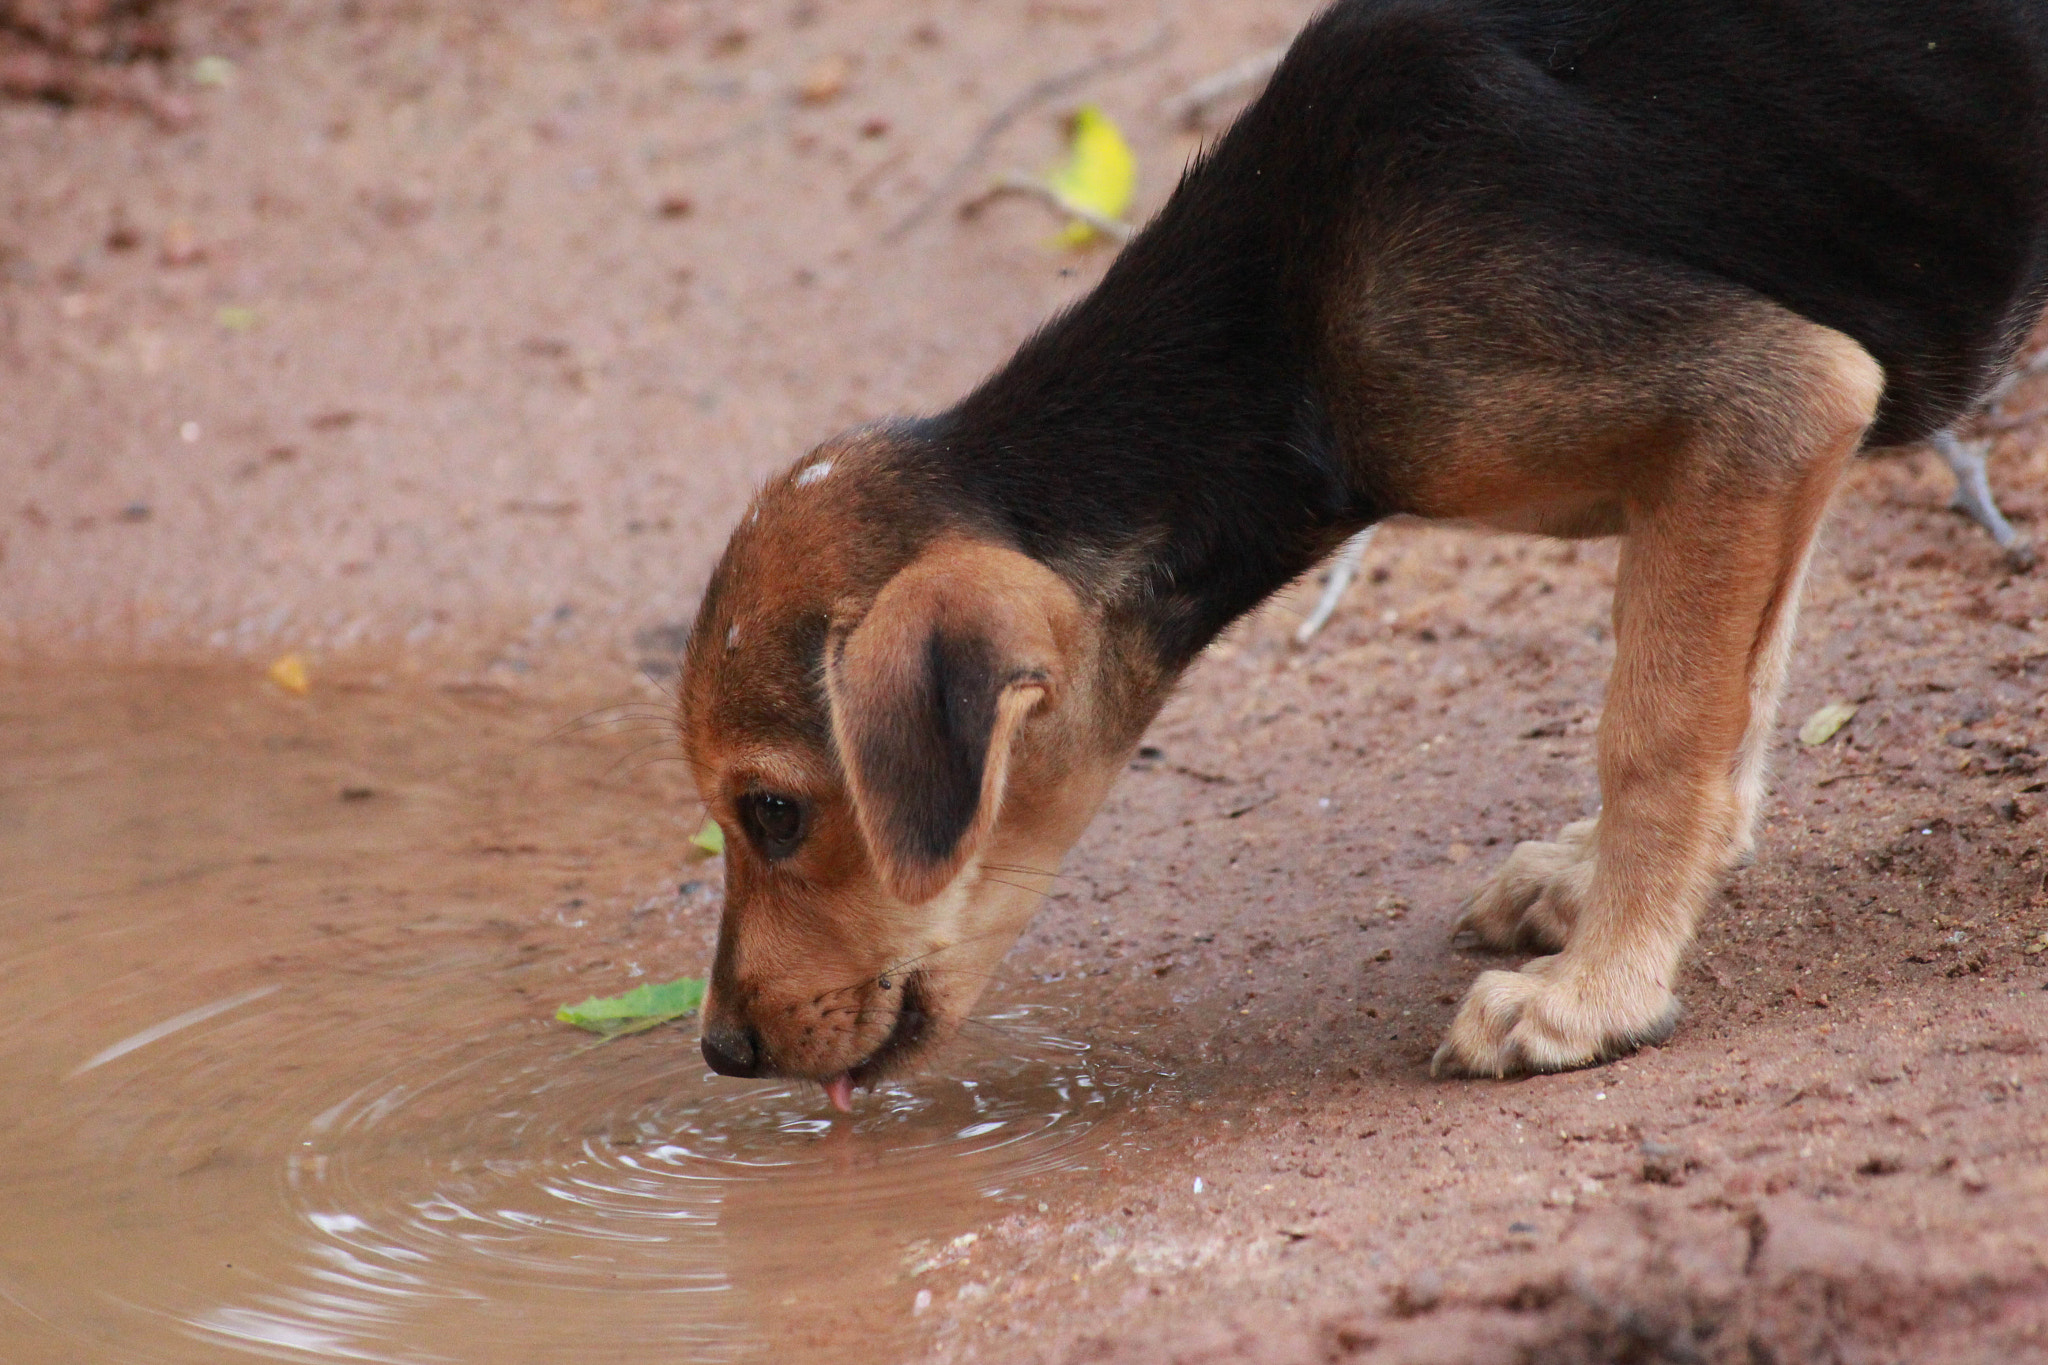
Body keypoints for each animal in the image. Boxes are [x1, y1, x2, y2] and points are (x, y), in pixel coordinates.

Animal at [675, 2, 2048, 1113]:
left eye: (775, 812)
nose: (719, 1055)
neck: (1277, 327)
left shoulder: (1765, 402)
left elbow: (1657, 731)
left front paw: (1595, 993)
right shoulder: (1766, 450)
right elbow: (1739, 691)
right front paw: (1604, 886)